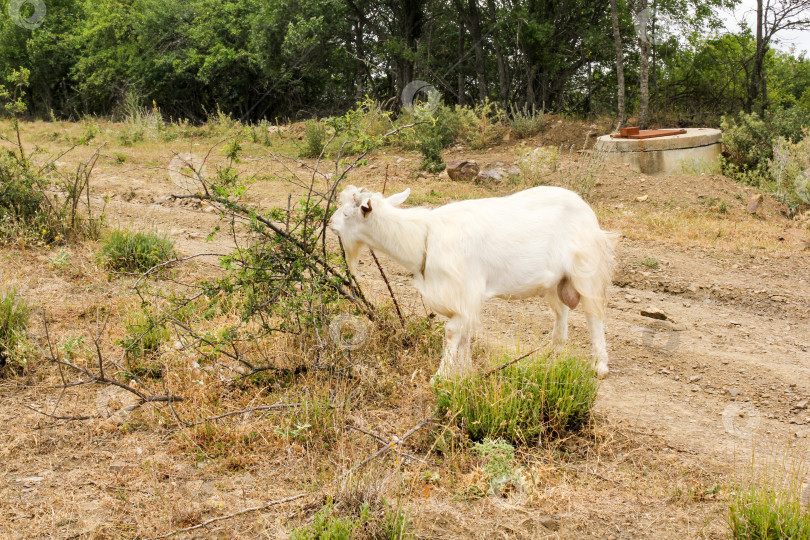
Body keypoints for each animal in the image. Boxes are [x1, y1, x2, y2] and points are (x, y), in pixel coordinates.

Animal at [328, 186, 620, 380]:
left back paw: (600, 365)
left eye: (347, 214)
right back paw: (554, 352)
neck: (423, 237)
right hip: (553, 281)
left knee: (594, 316)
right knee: (561, 312)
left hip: (585, 269)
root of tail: (588, 212)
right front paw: (465, 371)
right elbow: (466, 335)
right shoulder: (463, 300)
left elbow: (452, 333)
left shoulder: (464, 291)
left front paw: (441, 376)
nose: (330, 223)